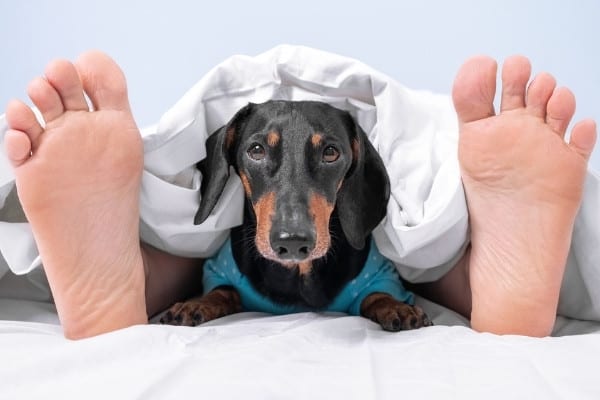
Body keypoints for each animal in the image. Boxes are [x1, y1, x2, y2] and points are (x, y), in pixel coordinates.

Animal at [159, 100, 432, 332]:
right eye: (256, 150)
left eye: (330, 152)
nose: (292, 241)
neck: (297, 273)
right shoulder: (219, 269)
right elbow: (223, 290)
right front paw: (197, 303)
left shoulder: (380, 273)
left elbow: (377, 294)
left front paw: (396, 307)